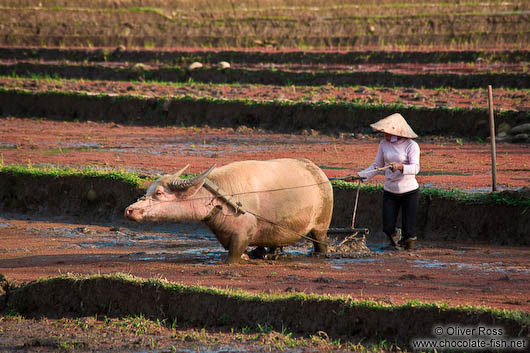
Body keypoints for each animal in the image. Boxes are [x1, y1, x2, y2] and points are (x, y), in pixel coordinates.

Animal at [124, 158, 332, 262]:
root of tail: (320, 174)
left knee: (320, 242)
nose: (129, 210)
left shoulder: (242, 235)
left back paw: (318, 255)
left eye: (159, 193)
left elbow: (233, 256)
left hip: (321, 225)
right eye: (148, 191)